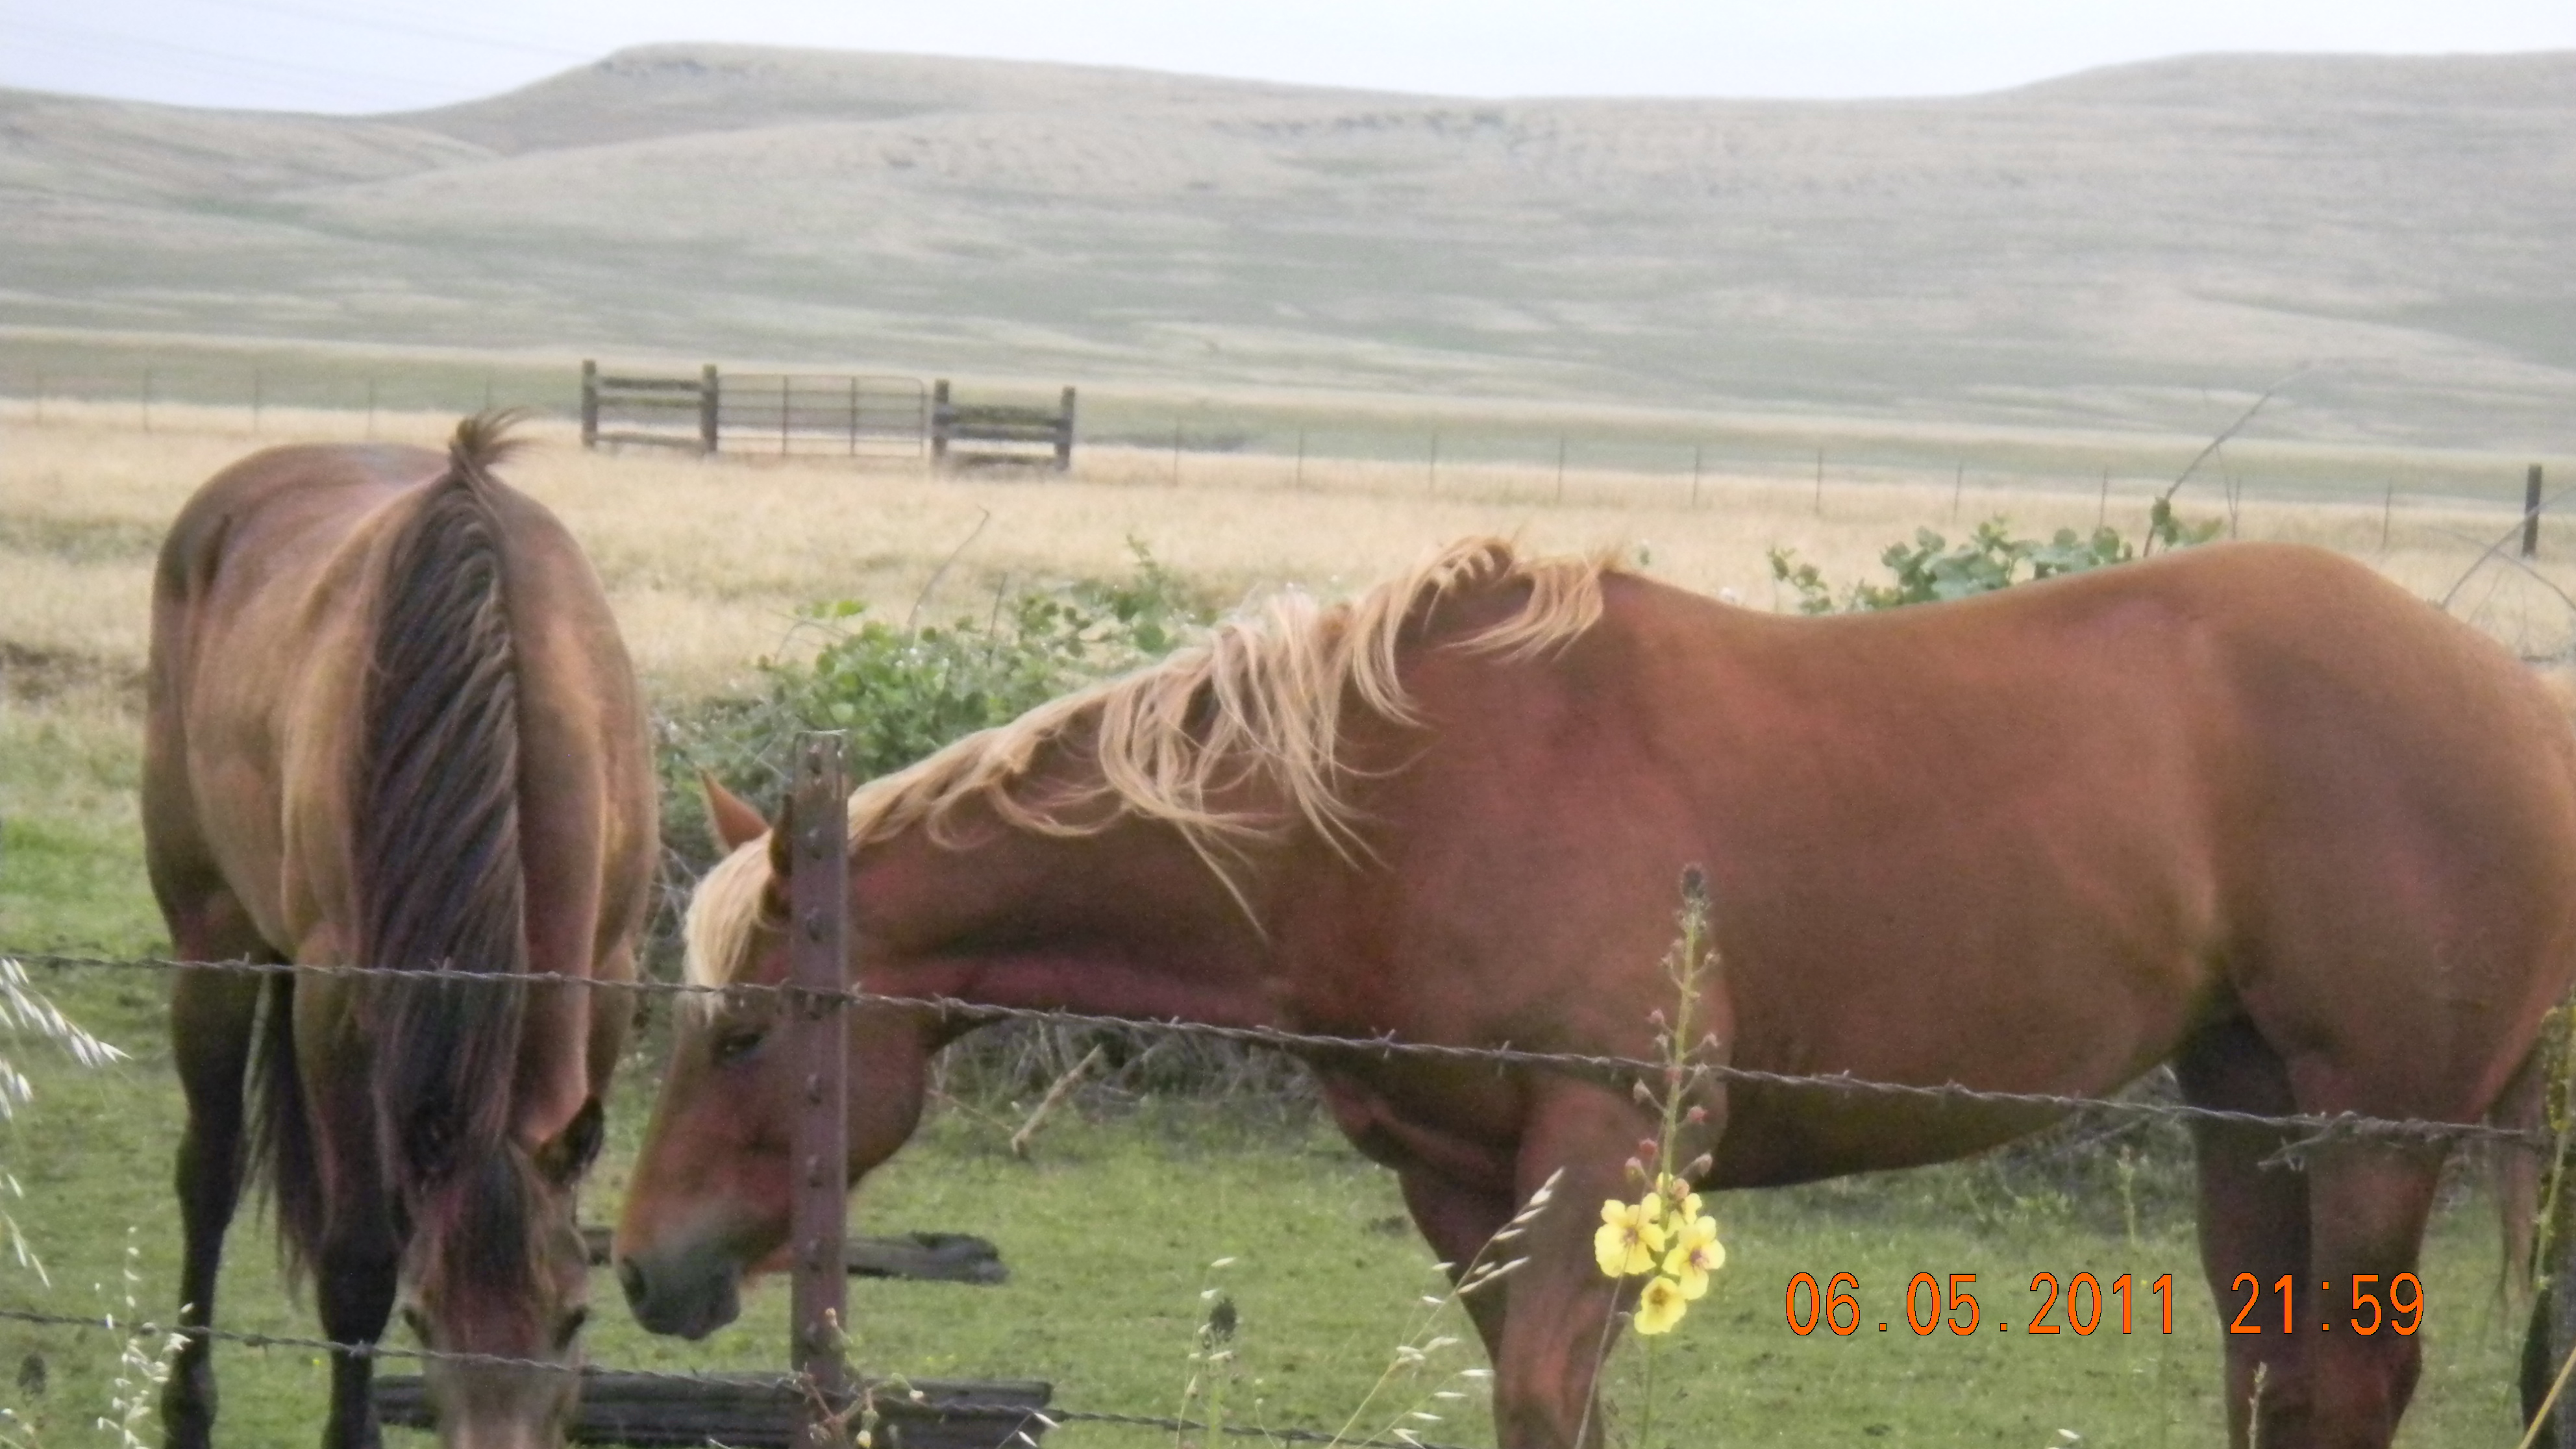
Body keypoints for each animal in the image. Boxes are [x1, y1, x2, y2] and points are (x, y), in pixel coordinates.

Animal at [143, 416, 658, 1449]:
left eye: (572, 1318)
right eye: (423, 1319)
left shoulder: (610, 978)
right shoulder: (338, 1002)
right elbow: (356, 1264)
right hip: (213, 943)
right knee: (209, 1175)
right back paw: (188, 1408)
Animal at [611, 536, 2576, 1449]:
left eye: (752, 1028)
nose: (645, 1267)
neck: (1388, 804)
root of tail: (2512, 694)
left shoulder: (1611, 1142)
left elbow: (1548, 1398)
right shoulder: (1461, 1178)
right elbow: (1549, 1395)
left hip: (2374, 1124)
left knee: (2350, 1380)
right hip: (2245, 1104)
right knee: (2274, 1366)